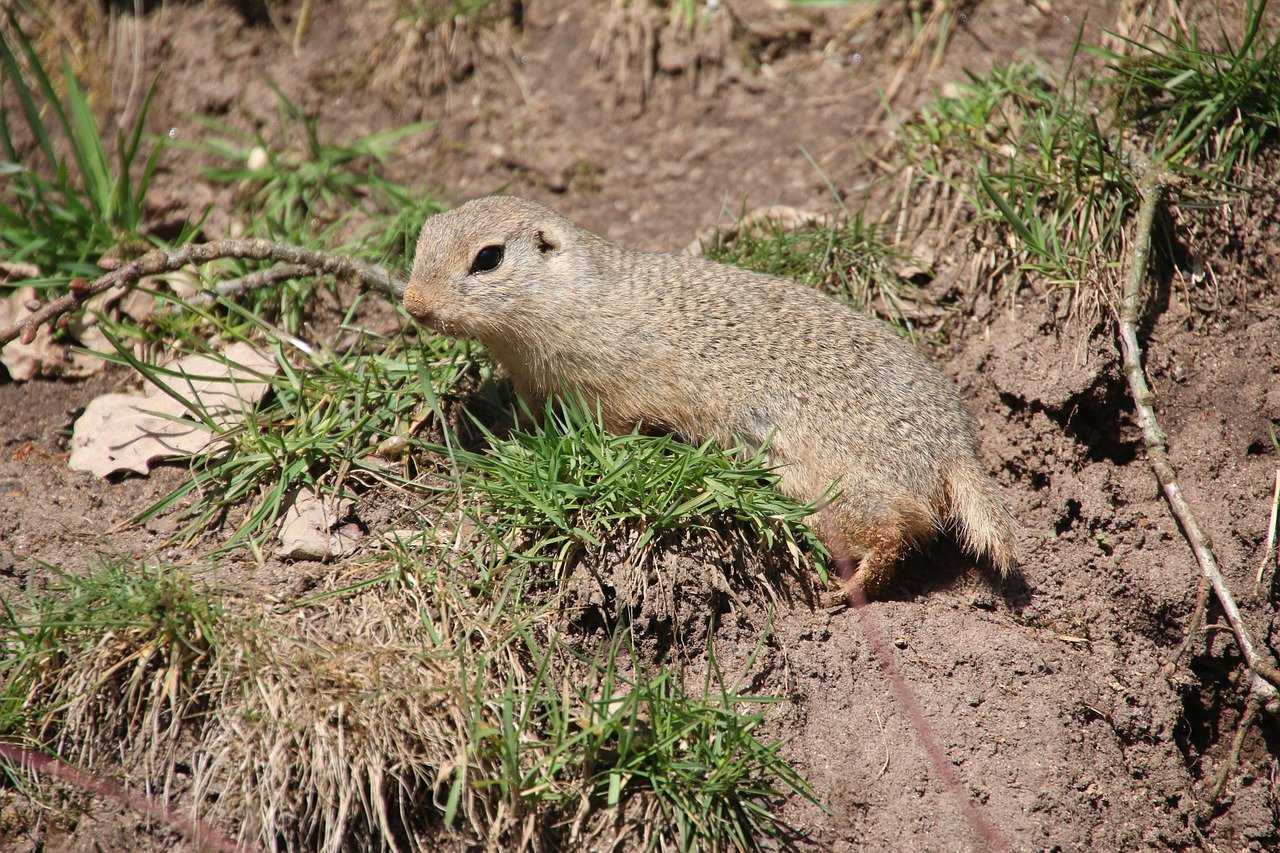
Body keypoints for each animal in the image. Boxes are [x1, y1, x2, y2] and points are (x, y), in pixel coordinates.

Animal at [404, 194, 1013, 594]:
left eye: (488, 257)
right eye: (422, 236)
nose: (412, 304)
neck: (573, 297)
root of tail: (957, 447)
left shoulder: (612, 386)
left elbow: (613, 426)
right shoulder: (534, 382)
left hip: (839, 483)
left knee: (897, 529)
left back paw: (852, 587)